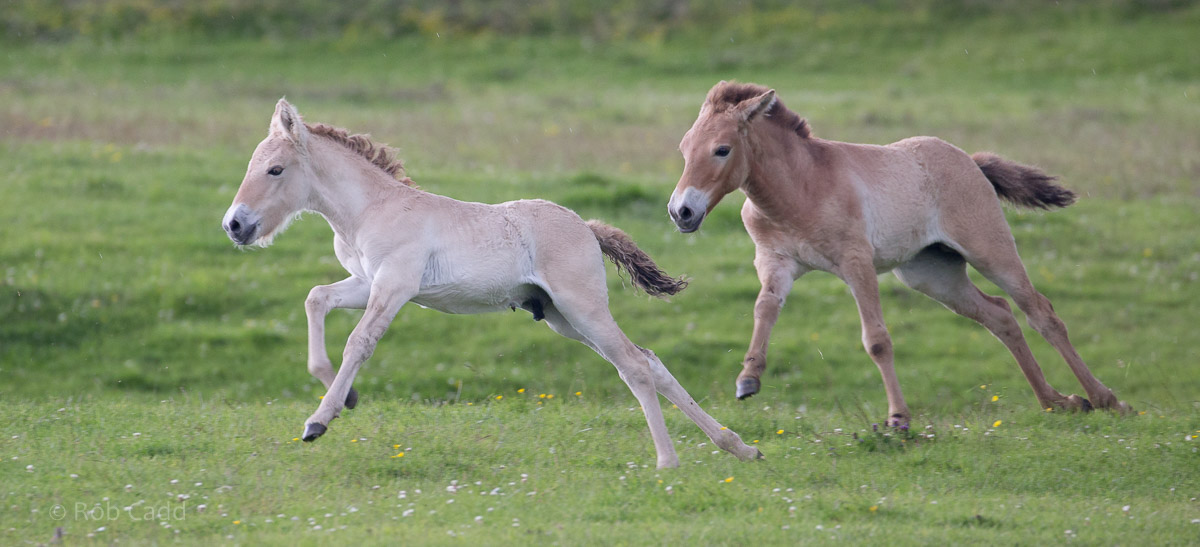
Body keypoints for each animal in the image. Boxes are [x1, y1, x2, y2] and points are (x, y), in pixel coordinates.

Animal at [221, 98, 761, 468]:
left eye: (274, 169)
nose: (235, 225)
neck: (370, 209)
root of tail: (587, 227)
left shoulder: (394, 286)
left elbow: (359, 342)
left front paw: (319, 420)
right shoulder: (364, 282)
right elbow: (316, 300)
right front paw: (345, 397)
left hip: (582, 308)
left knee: (634, 366)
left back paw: (669, 460)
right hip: (562, 318)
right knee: (649, 360)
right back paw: (737, 446)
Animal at [666, 81, 1130, 426]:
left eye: (722, 149)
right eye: (684, 148)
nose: (681, 212)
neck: (801, 188)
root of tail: (971, 162)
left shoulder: (857, 264)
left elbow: (877, 340)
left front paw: (898, 419)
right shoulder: (776, 263)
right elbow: (764, 310)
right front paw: (748, 379)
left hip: (990, 250)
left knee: (1041, 313)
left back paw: (1105, 399)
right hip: (933, 275)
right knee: (1000, 315)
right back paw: (1057, 401)